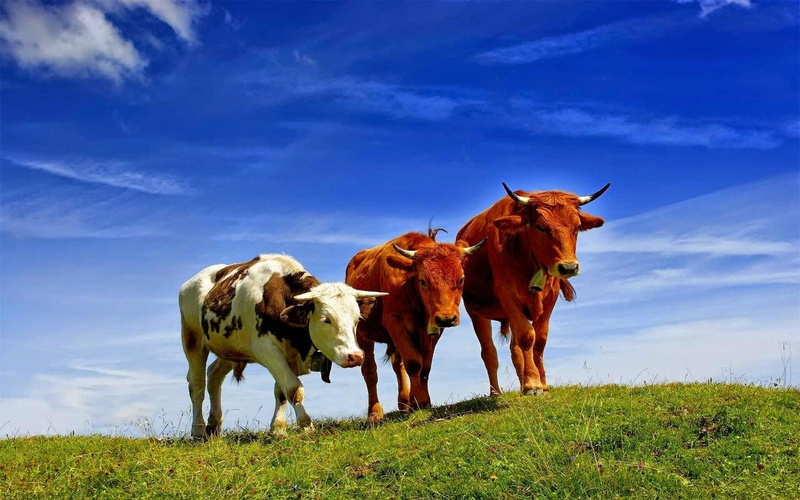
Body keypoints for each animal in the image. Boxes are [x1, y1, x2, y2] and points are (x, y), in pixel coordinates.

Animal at [179, 254, 387, 437]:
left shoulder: (287, 356)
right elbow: (294, 389)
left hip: (230, 349)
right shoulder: (267, 351)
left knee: (214, 377)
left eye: (357, 319)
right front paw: (306, 425)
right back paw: (198, 429)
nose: (356, 356)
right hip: (192, 339)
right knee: (197, 384)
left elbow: (281, 391)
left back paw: (214, 425)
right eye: (326, 319)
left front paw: (278, 428)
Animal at [345, 230, 487, 423]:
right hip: (363, 334)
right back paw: (375, 413)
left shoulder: (432, 329)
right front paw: (418, 400)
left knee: (398, 366)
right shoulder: (394, 321)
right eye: (423, 281)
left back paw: (404, 403)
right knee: (370, 372)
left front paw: (423, 402)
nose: (447, 318)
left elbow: (424, 367)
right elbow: (413, 363)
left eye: (461, 279)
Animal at [456, 182, 610, 396]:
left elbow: (539, 340)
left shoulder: (549, 299)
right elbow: (527, 337)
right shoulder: (508, 295)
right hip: (476, 312)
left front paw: (541, 383)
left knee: (515, 350)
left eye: (577, 227)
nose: (569, 267)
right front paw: (532, 385)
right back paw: (496, 392)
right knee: (489, 352)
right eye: (540, 227)